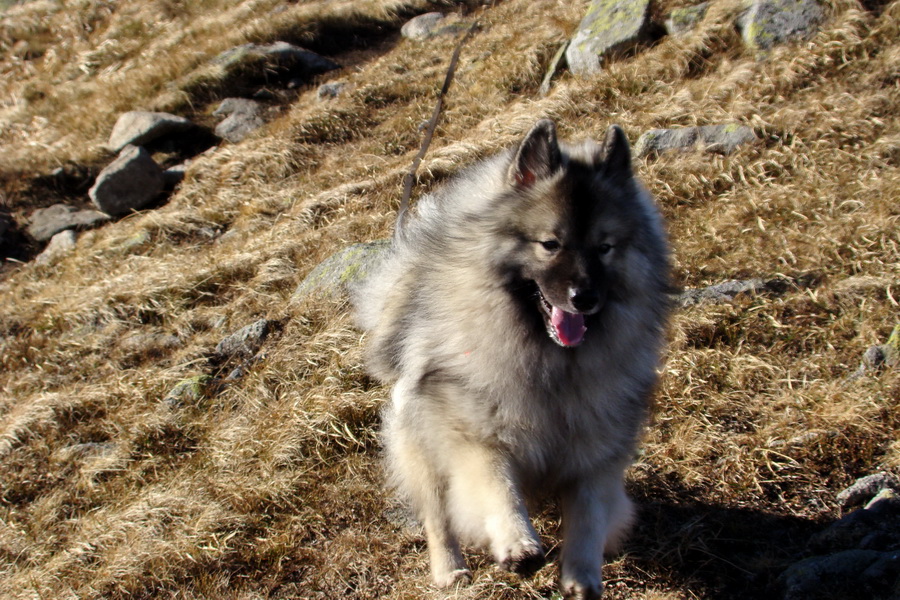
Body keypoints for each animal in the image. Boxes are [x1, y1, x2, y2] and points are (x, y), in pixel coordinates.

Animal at [356, 119, 672, 596]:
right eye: (550, 244)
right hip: (420, 443)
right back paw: (449, 570)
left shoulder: (596, 453)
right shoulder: (477, 437)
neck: (551, 363)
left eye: (605, 247)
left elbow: (590, 515)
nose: (585, 298)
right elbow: (496, 486)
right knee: (437, 516)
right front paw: (517, 542)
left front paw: (582, 575)